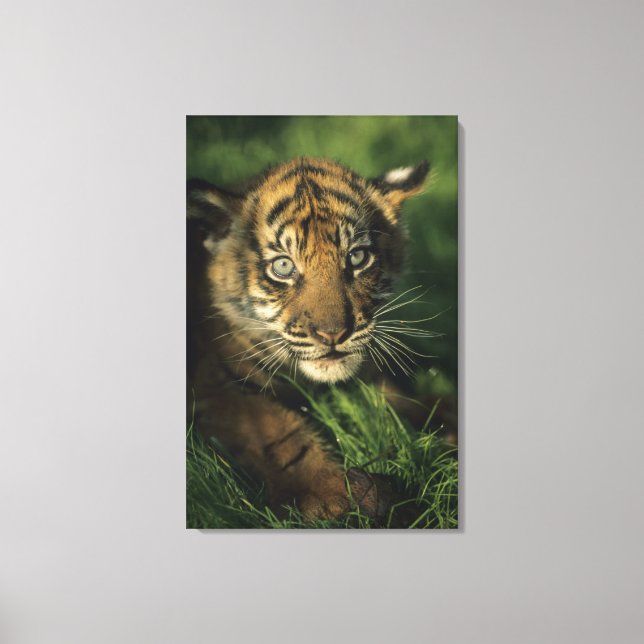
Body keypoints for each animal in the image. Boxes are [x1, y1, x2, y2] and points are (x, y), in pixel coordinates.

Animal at [187, 157, 430, 520]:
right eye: (283, 267)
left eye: (357, 258)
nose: (333, 334)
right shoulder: (214, 388)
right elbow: (280, 435)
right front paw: (333, 496)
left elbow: (409, 400)